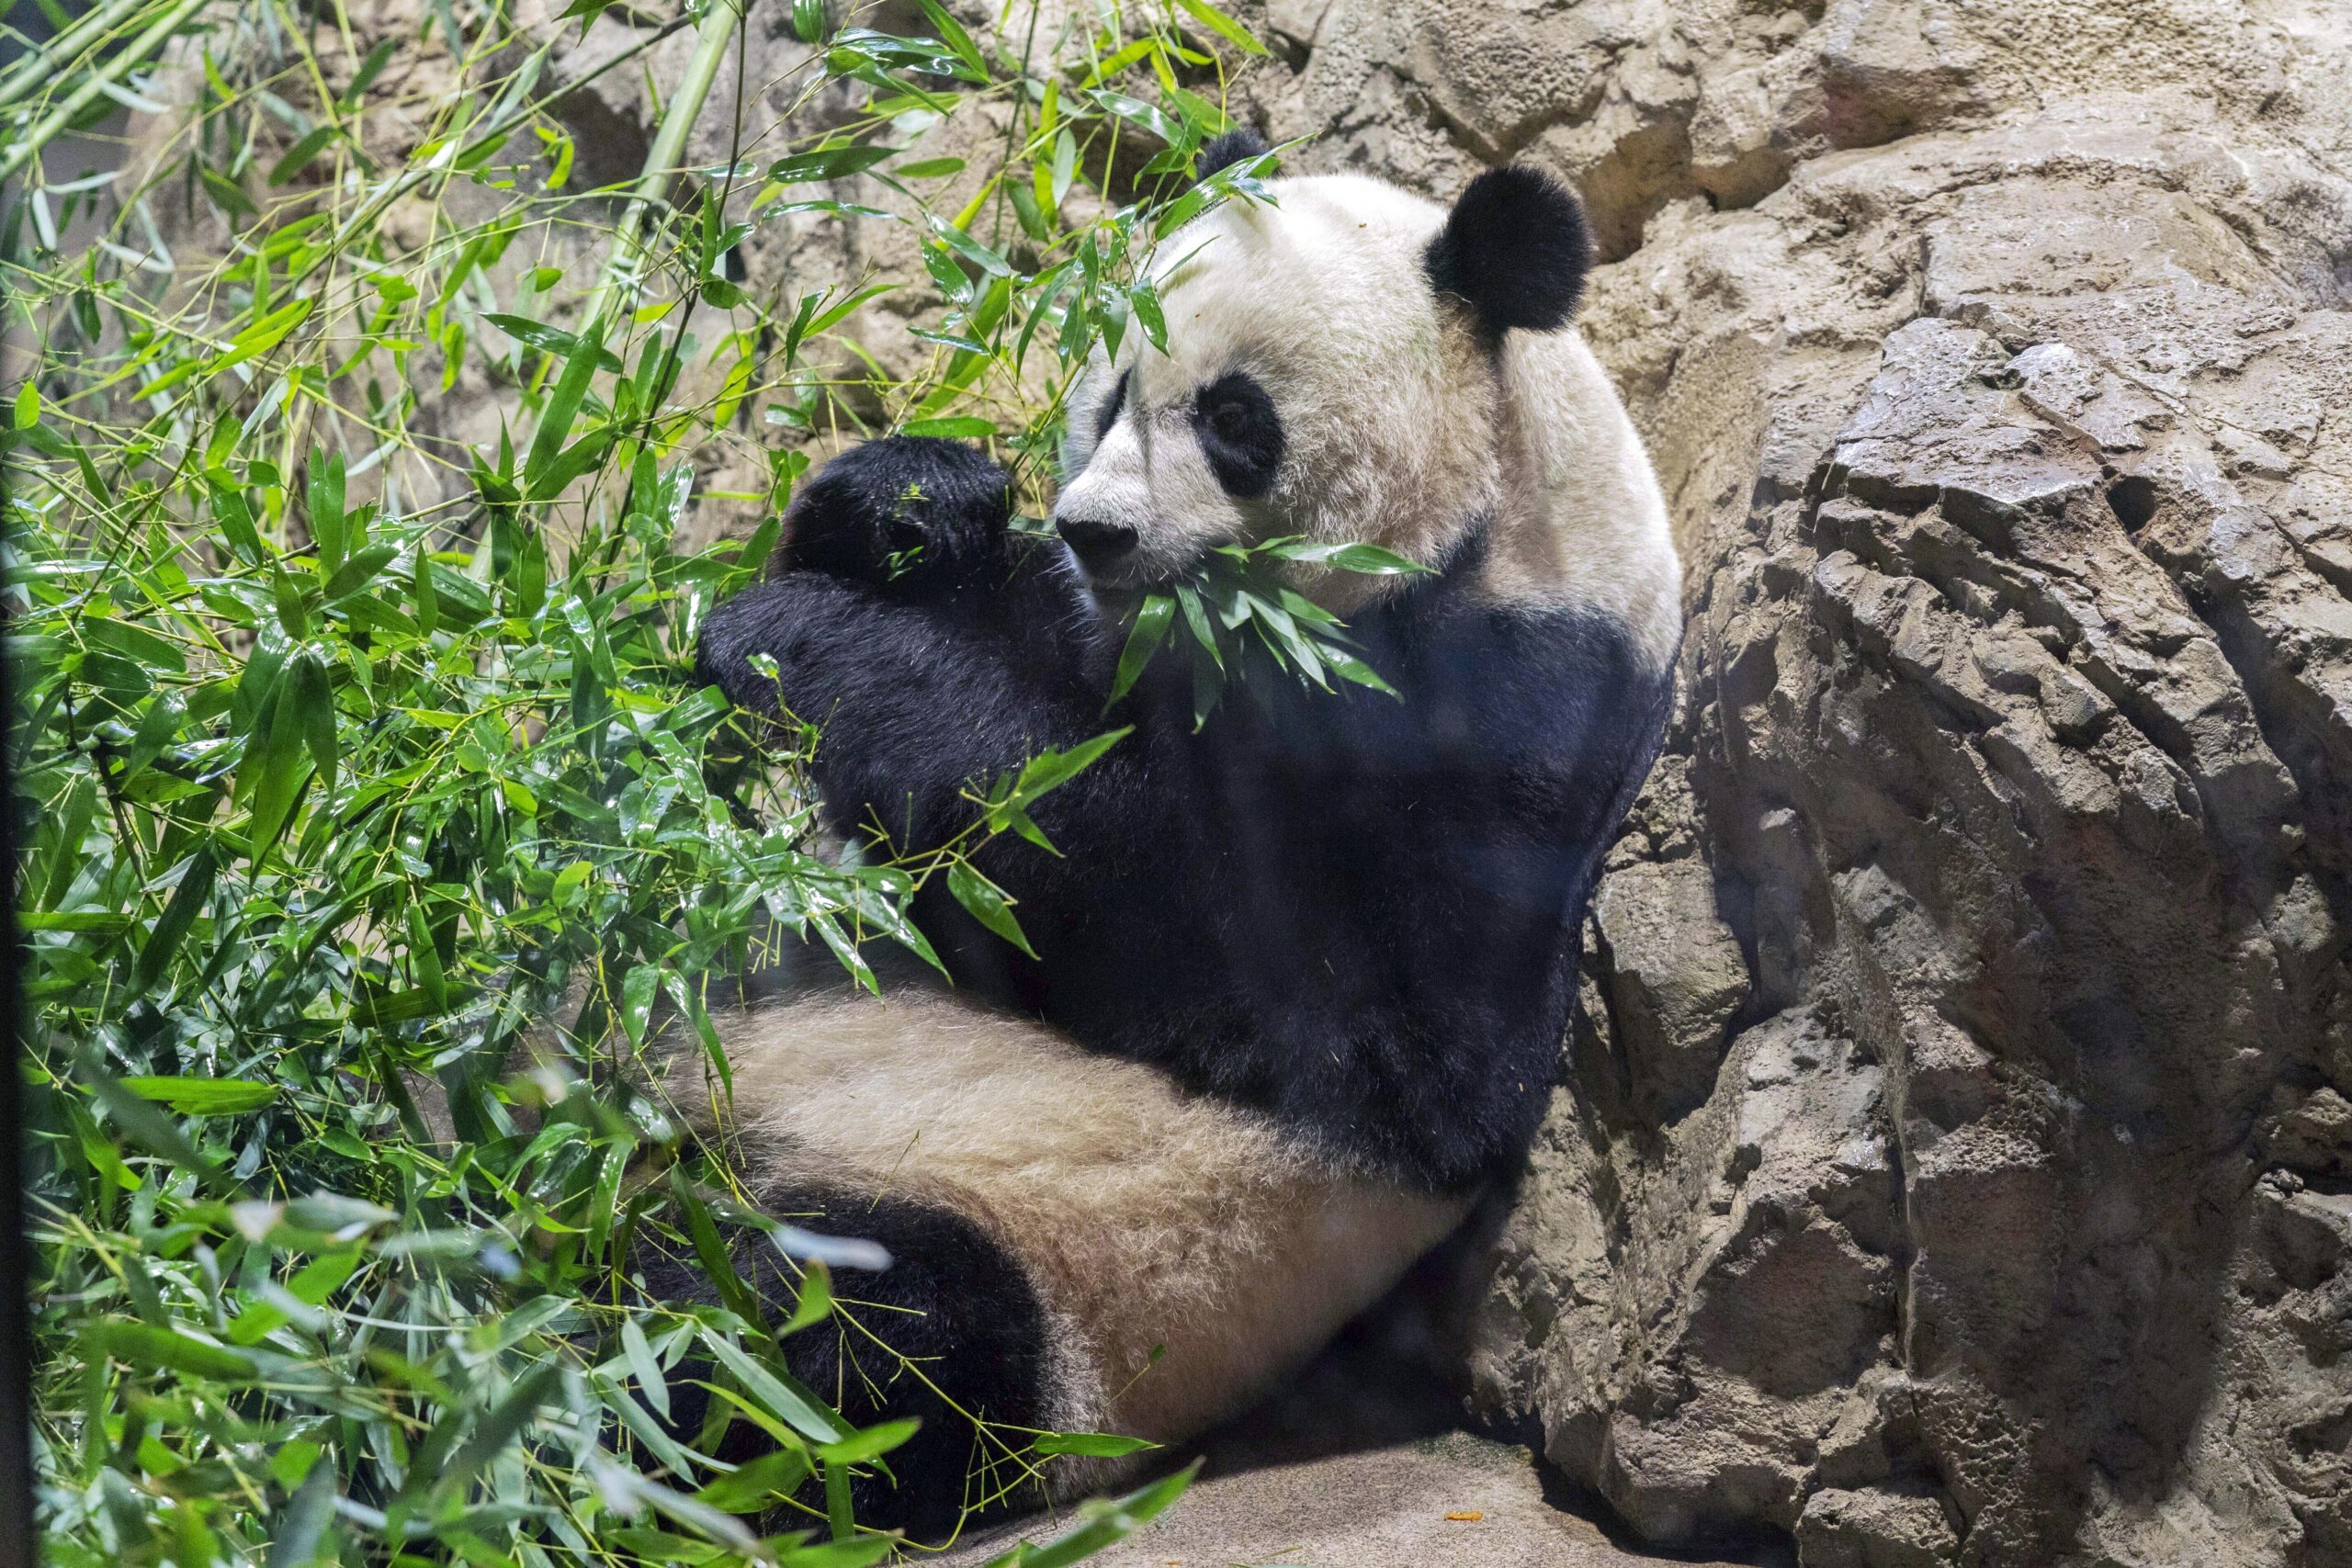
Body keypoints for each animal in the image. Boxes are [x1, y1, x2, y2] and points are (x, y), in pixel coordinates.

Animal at [653, 132, 1682, 1538]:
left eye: (1235, 416)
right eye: (1112, 393)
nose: (1093, 527)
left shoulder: (1499, 732)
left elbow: (1312, 1011)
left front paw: (810, 641)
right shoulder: (1101, 635)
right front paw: (911, 500)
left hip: (1045, 1269)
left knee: (831, 1336)